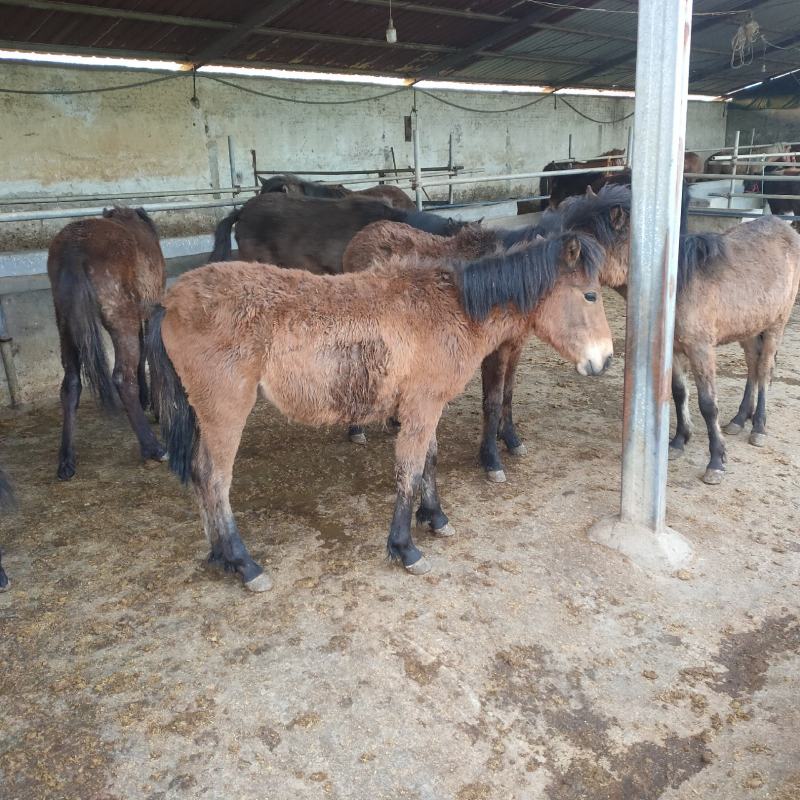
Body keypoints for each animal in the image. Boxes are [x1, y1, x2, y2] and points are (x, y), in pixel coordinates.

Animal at [47, 207, 167, 480]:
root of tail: (75, 246)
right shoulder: (150, 310)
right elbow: (149, 352)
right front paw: (155, 406)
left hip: (66, 326)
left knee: (70, 384)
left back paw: (66, 461)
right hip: (120, 318)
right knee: (122, 377)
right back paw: (153, 448)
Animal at [147, 232, 613, 591]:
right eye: (590, 294)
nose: (605, 361)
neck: (451, 307)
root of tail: (169, 301)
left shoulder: (425, 405)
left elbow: (428, 461)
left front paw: (435, 517)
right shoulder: (423, 407)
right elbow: (409, 469)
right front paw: (405, 548)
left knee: (199, 476)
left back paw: (219, 556)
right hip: (225, 410)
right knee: (213, 479)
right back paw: (244, 564)